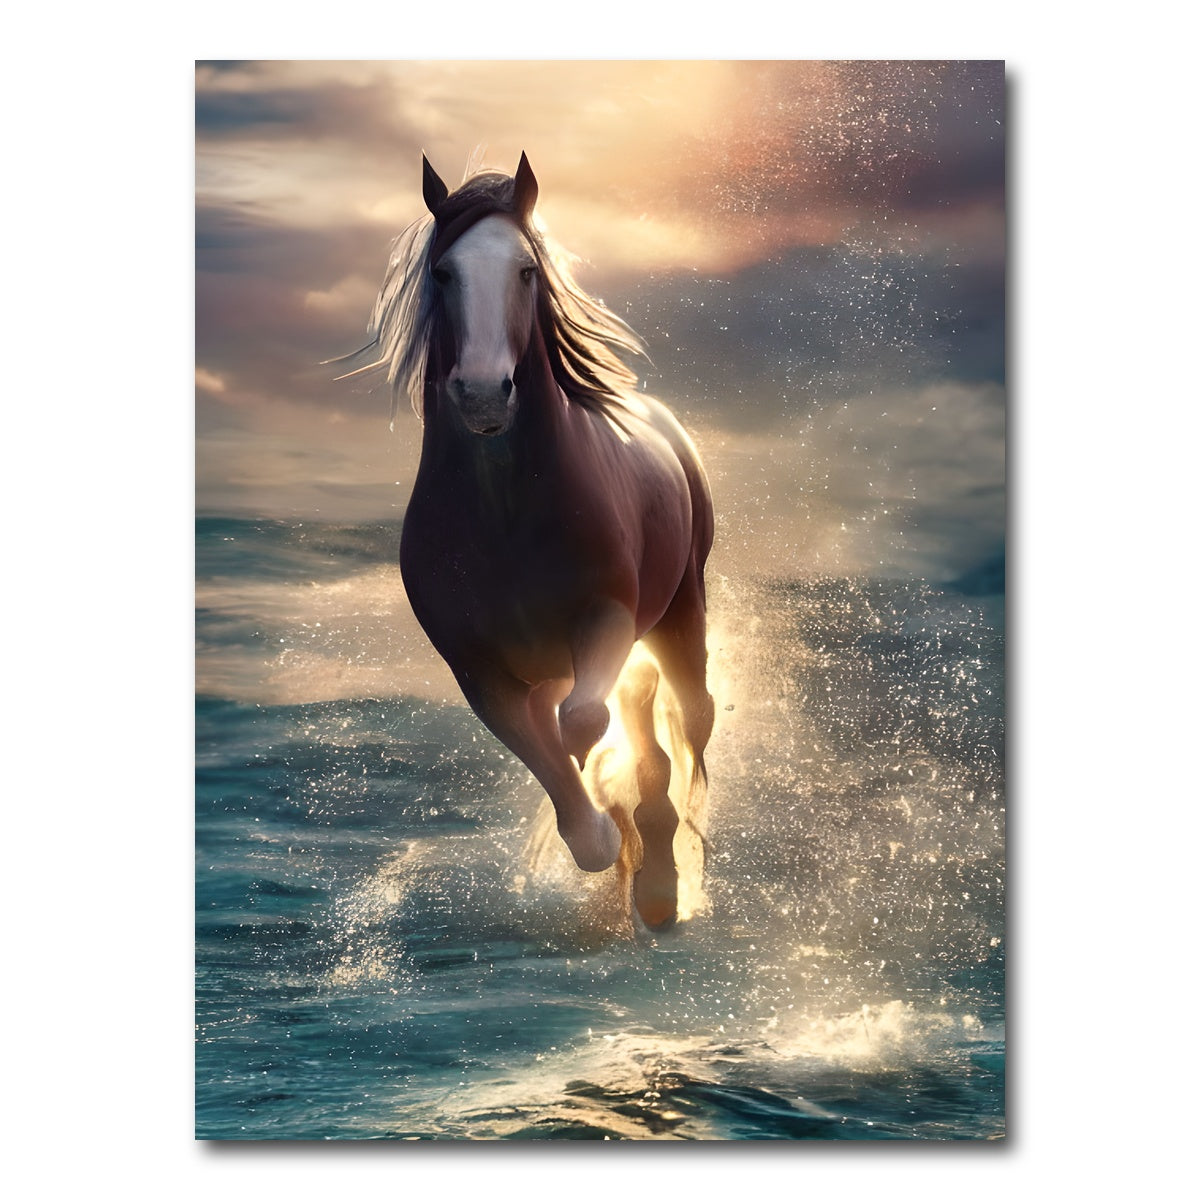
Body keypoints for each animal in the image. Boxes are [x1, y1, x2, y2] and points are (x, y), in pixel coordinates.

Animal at [342, 153, 714, 929]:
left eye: (525, 271)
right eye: (443, 273)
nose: (485, 394)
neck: (505, 514)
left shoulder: (607, 617)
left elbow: (586, 725)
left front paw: (641, 848)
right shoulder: (479, 672)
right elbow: (560, 775)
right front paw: (610, 838)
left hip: (679, 609)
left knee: (686, 717)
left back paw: (669, 871)